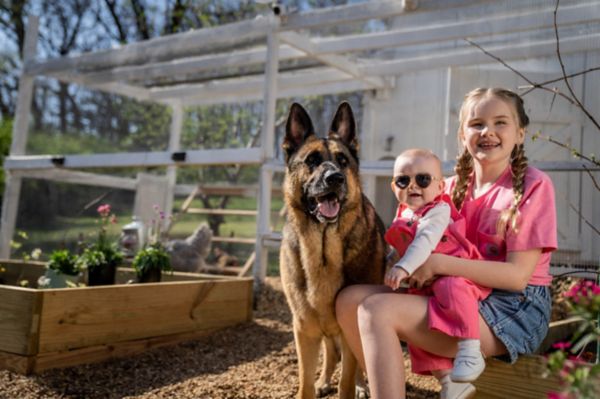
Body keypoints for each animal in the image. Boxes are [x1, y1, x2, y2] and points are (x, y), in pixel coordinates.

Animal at [280, 103, 386, 399]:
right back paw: (324, 380)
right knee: (329, 353)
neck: (323, 252)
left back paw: (362, 385)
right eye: (312, 161)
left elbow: (346, 381)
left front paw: (354, 386)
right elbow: (305, 382)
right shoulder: (304, 329)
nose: (335, 178)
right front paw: (315, 384)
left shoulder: (349, 329)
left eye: (342, 161)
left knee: (357, 365)